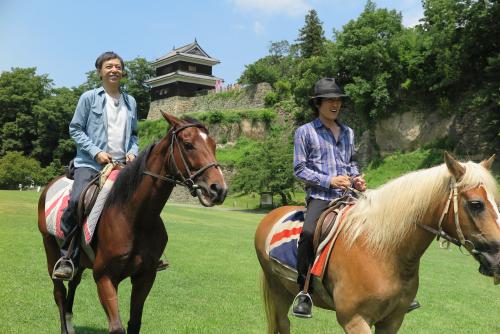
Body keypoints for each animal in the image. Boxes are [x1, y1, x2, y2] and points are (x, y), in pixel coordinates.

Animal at [38, 113, 228, 334]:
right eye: (188, 144)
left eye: (213, 145)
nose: (218, 189)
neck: (134, 217)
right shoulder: (104, 278)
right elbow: (117, 327)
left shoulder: (145, 277)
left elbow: (134, 323)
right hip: (50, 250)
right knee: (59, 293)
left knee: (74, 283)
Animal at [256, 153, 498, 332]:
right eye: (476, 204)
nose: (497, 259)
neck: (382, 251)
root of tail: (272, 215)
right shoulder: (354, 320)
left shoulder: (392, 321)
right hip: (278, 288)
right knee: (283, 323)